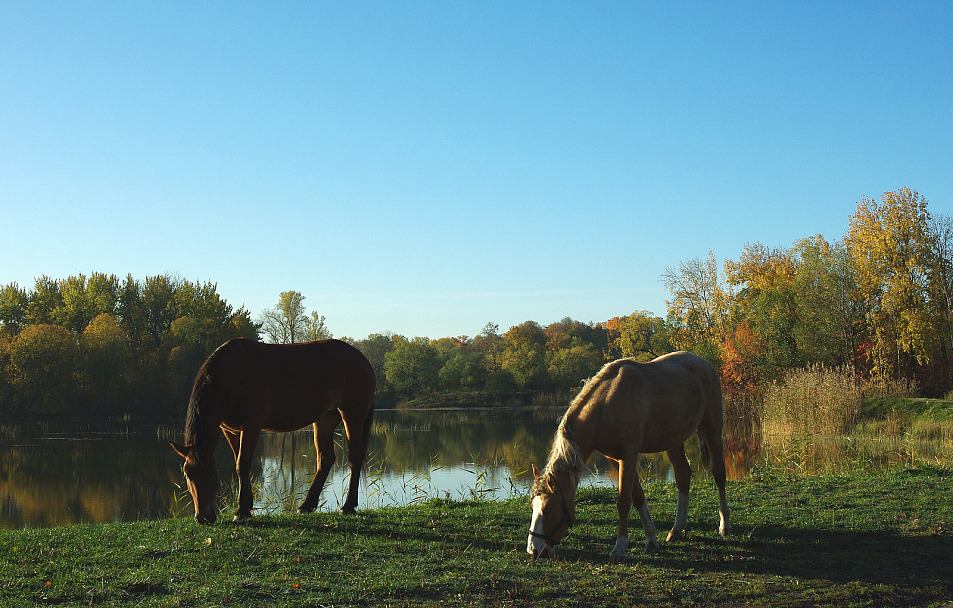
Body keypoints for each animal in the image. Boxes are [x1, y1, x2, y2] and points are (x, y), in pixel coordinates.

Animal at [171, 338, 376, 524]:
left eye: (211, 473)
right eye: (187, 475)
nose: (203, 517)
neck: (230, 376)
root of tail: (362, 358)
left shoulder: (252, 425)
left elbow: (242, 464)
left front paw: (242, 511)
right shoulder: (230, 430)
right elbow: (238, 462)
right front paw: (246, 505)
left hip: (352, 415)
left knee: (354, 457)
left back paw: (348, 506)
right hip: (325, 418)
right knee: (325, 459)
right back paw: (306, 505)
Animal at [524, 352, 732, 560]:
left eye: (548, 509)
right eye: (533, 507)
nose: (534, 550)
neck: (606, 406)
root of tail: (704, 362)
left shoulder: (629, 454)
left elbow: (623, 500)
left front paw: (620, 547)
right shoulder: (614, 458)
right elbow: (637, 496)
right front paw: (651, 541)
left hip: (712, 429)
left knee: (719, 474)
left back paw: (724, 525)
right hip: (674, 441)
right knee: (683, 476)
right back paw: (677, 529)